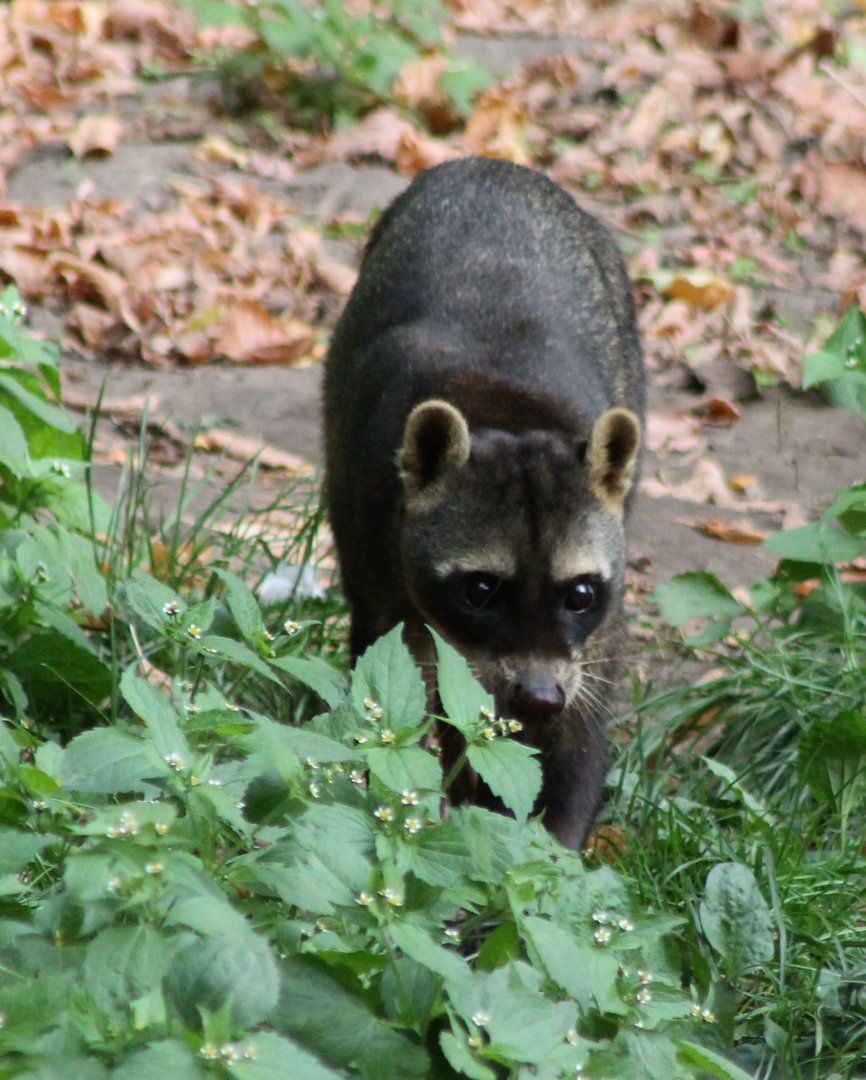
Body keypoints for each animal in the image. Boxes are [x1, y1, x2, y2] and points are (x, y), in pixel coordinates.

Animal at [323, 156, 645, 849]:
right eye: (480, 590)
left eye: (580, 593)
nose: (539, 698)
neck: (506, 410)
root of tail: (490, 165)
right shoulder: (378, 545)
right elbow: (402, 688)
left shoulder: (595, 621)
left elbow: (582, 721)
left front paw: (556, 837)